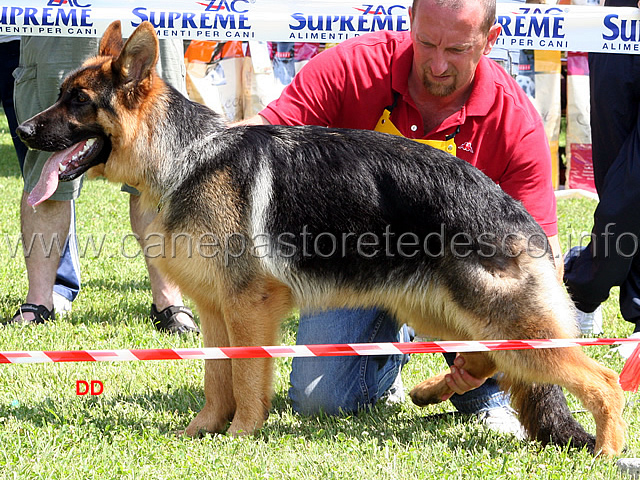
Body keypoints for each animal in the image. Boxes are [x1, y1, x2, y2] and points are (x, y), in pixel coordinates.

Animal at [18, 21, 624, 458]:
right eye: (61, 95)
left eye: (78, 102)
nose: (22, 131)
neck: (186, 155)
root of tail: (515, 212)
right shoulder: (215, 312)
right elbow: (216, 378)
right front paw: (202, 432)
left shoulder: (248, 308)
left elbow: (246, 376)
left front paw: (240, 436)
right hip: (444, 313)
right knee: (485, 362)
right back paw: (428, 390)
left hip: (502, 322)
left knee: (602, 379)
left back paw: (608, 450)